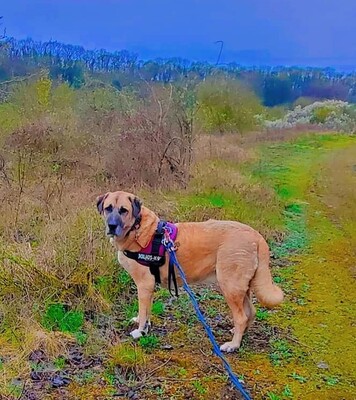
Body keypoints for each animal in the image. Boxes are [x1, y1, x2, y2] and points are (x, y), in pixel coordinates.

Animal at [95, 192, 284, 352]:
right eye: (108, 208)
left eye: (124, 210)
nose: (111, 226)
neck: (136, 228)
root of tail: (256, 235)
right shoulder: (148, 288)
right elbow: (146, 311)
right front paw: (144, 325)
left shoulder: (144, 284)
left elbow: (143, 312)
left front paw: (140, 331)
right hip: (241, 287)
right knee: (251, 312)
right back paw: (240, 334)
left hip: (230, 286)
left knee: (241, 317)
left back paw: (233, 345)